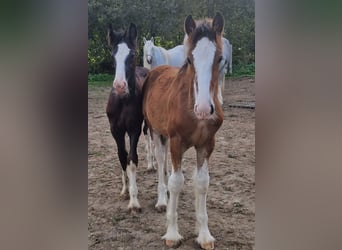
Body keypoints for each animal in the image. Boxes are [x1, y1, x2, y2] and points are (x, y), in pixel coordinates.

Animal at [142, 12, 224, 250]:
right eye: (189, 60)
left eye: (220, 58)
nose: (204, 109)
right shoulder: (177, 141)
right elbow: (176, 182)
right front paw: (171, 233)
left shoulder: (206, 144)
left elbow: (202, 182)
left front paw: (204, 234)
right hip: (155, 131)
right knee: (161, 161)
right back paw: (162, 200)